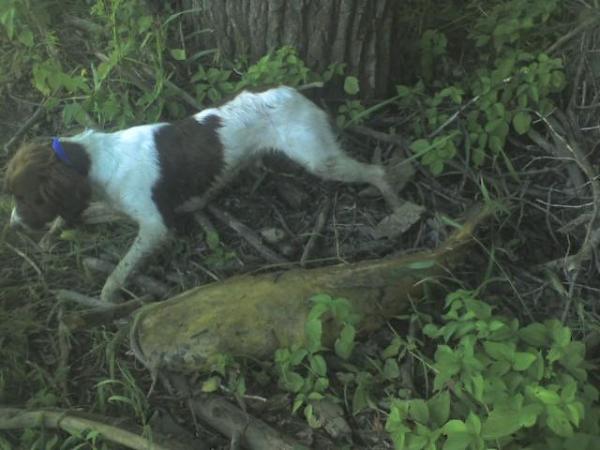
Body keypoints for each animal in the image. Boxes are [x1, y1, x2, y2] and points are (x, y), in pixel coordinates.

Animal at [4, 85, 400, 300]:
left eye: (24, 197)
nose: (11, 226)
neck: (92, 159)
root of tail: (293, 93)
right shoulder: (123, 207)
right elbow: (86, 213)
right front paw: (55, 231)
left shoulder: (156, 226)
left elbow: (121, 267)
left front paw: (106, 296)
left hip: (320, 159)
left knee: (378, 171)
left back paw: (396, 204)